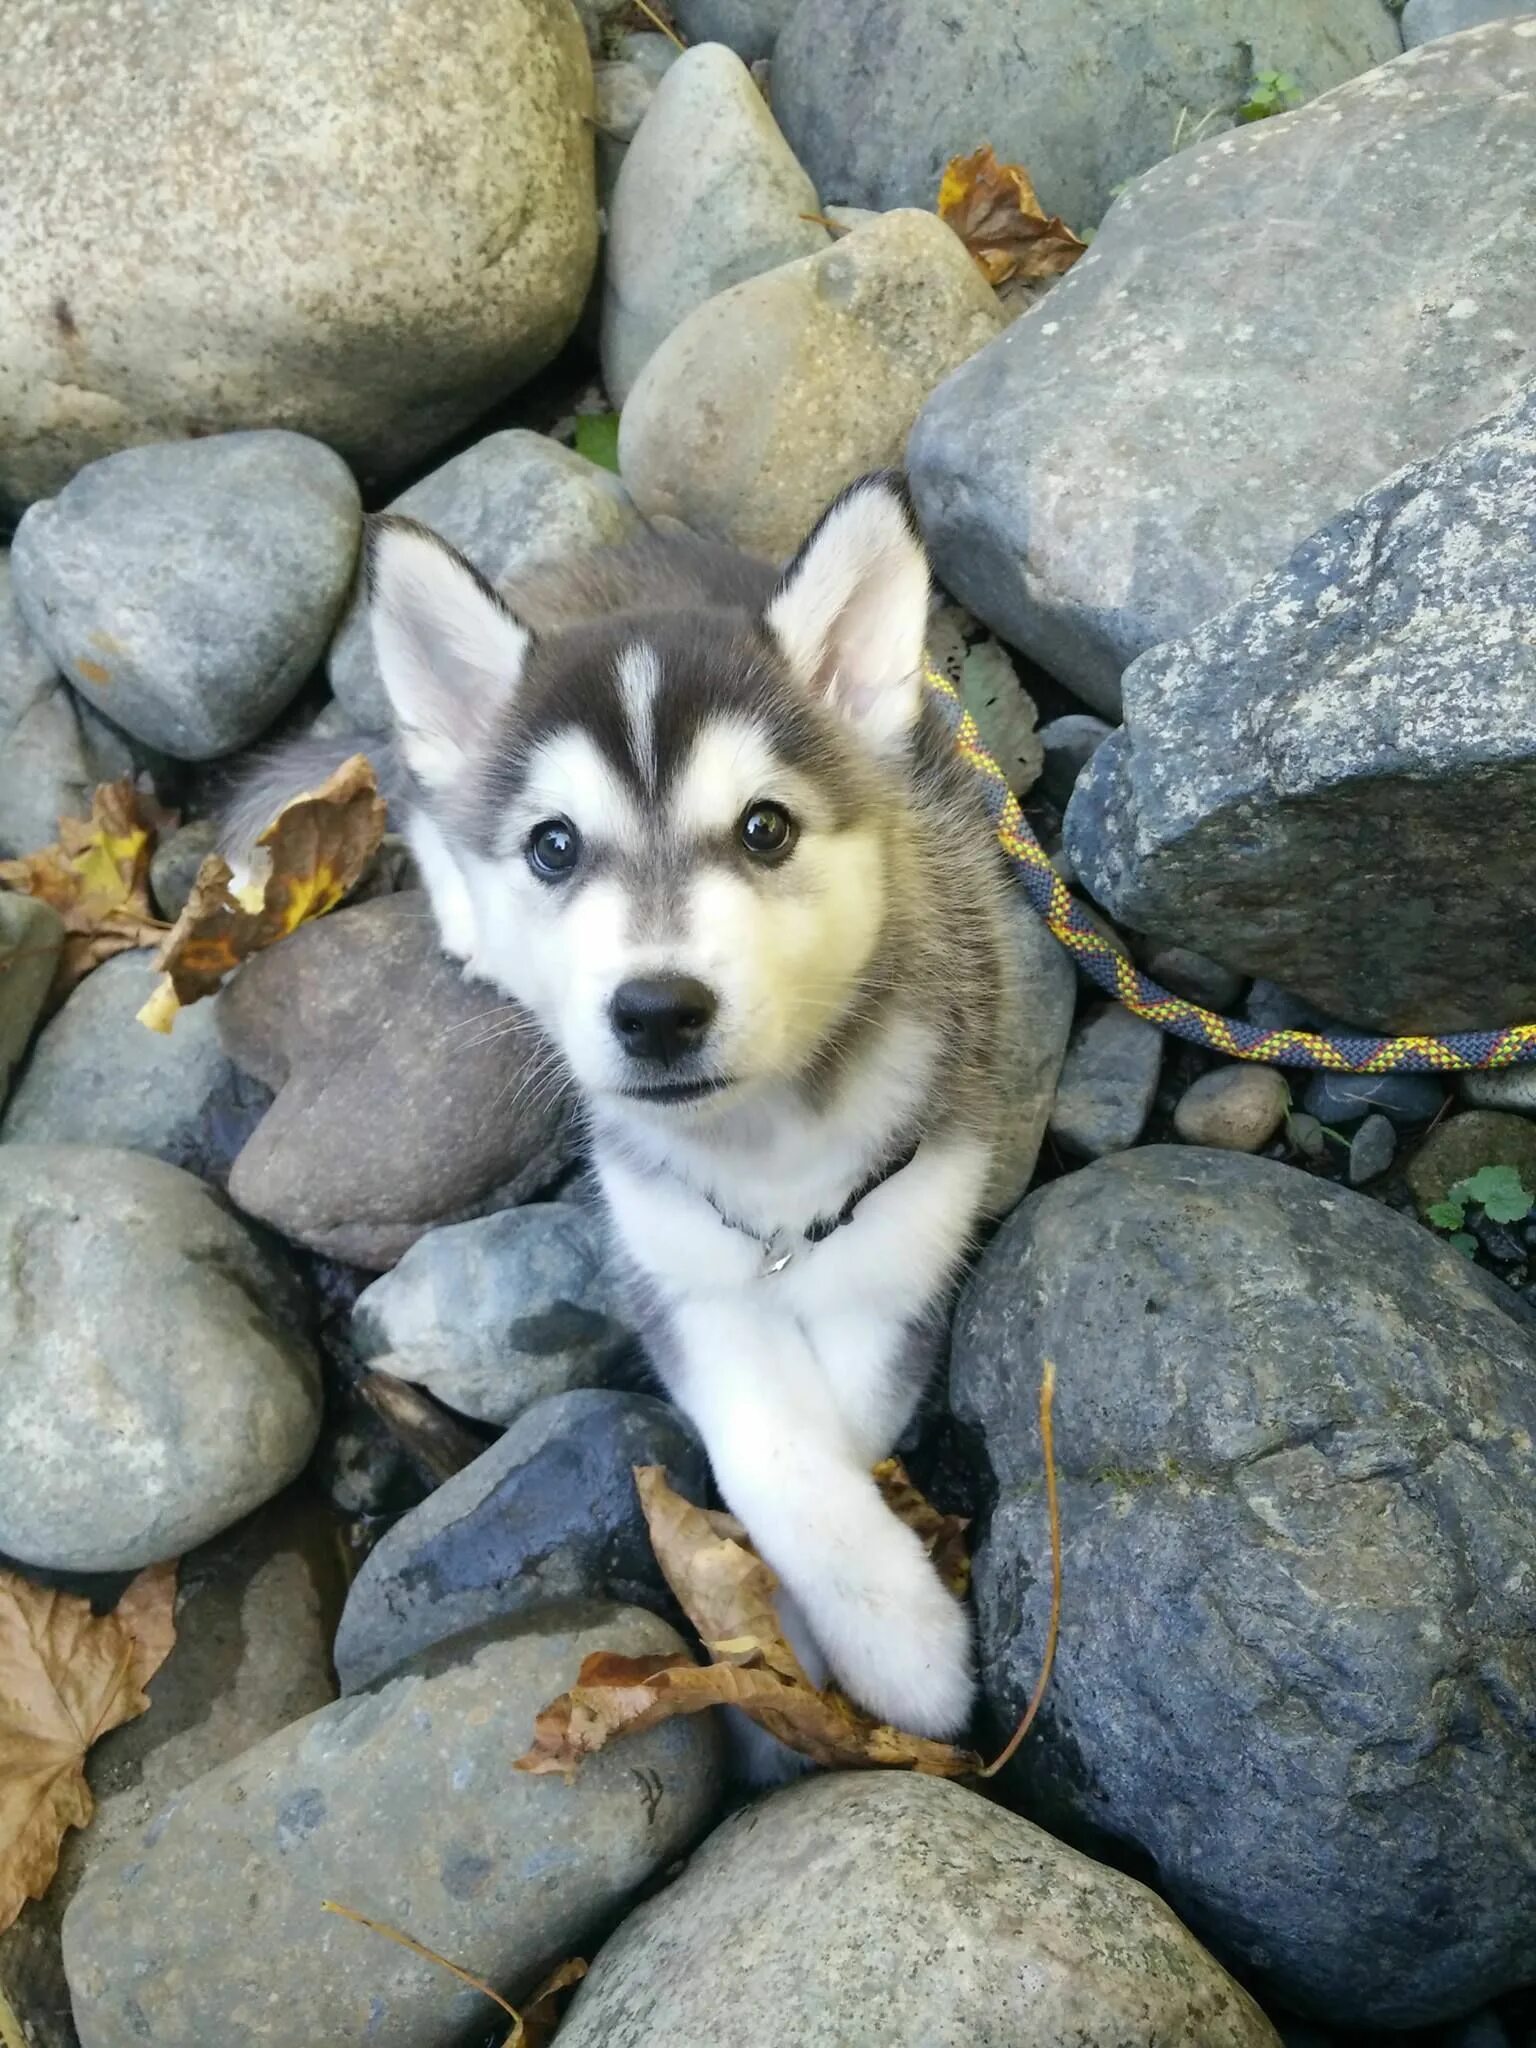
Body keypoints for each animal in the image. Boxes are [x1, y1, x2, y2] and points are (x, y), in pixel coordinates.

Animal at [228, 479, 1024, 1761]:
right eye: (554, 844)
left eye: (765, 827)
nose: (657, 1010)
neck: (766, 1153)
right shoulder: (676, 1273)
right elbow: (777, 1453)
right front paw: (885, 1642)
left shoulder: (899, 1246)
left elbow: (843, 1427)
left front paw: (852, 1634)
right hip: (437, 769)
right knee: (424, 802)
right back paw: (472, 926)